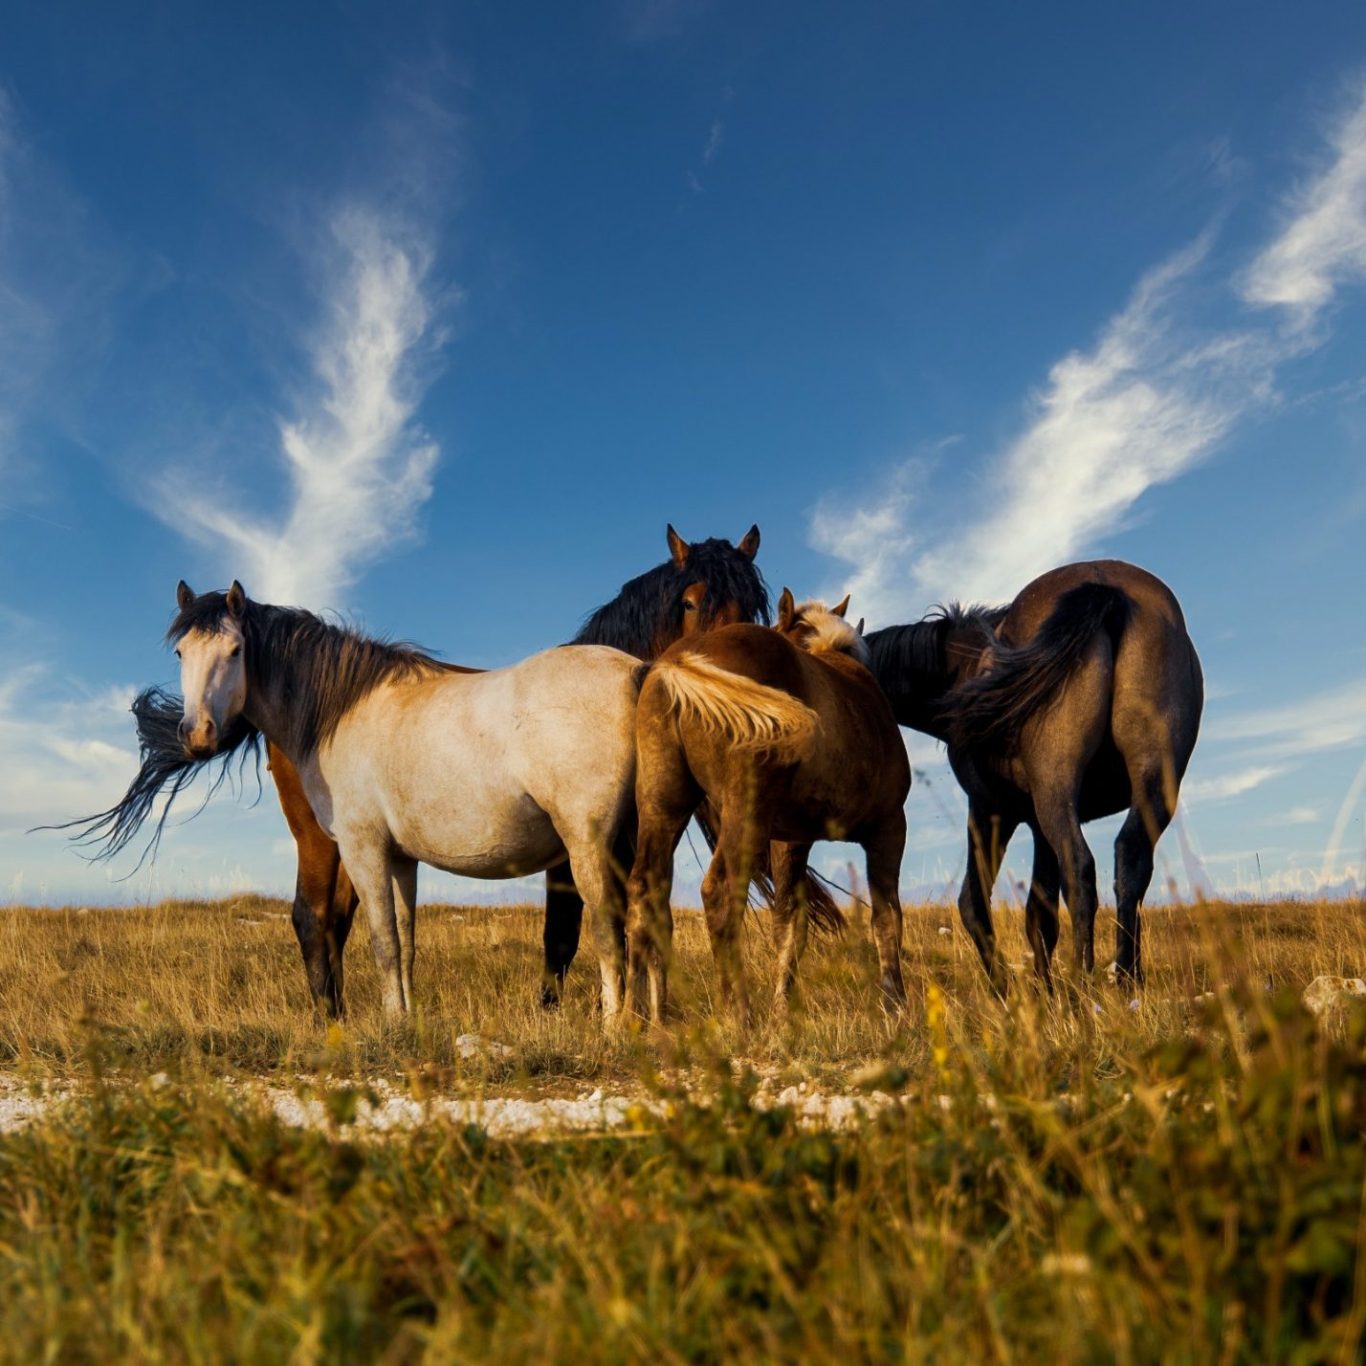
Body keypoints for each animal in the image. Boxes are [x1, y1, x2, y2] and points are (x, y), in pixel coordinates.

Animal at [165, 579, 645, 1018]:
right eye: (181, 653)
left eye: (235, 650)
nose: (197, 735)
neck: (341, 714)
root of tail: (634, 671)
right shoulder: (400, 858)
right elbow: (405, 941)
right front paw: (408, 1019)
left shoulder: (363, 849)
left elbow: (384, 941)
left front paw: (393, 1021)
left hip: (587, 845)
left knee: (608, 929)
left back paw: (614, 1026)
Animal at [626, 591, 910, 1027]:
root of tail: (681, 660)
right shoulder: (890, 826)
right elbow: (886, 918)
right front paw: (896, 1006)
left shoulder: (791, 841)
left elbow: (789, 924)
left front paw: (782, 1008)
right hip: (745, 810)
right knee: (721, 894)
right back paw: (736, 1013)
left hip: (662, 805)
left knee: (645, 891)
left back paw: (641, 1018)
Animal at [864, 559, 1203, 990]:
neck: (963, 668)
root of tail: (1104, 587)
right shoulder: (1036, 826)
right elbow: (1039, 913)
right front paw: (1043, 989)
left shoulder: (993, 810)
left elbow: (977, 903)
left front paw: (1008, 989)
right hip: (1152, 785)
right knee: (1131, 862)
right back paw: (1128, 980)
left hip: (1055, 793)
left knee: (1079, 871)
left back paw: (1081, 984)